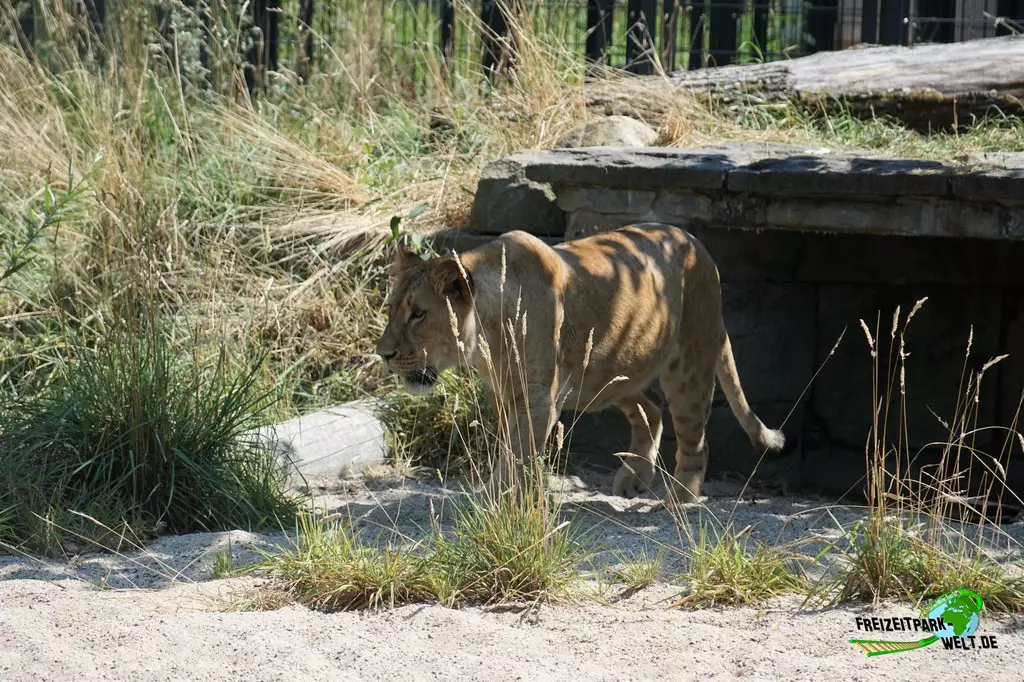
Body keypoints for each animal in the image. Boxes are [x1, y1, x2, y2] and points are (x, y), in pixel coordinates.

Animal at [375, 222, 788, 503]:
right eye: (392, 309)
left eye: (418, 314)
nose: (384, 354)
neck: (487, 337)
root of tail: (698, 245)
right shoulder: (503, 394)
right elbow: (509, 448)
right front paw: (505, 496)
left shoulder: (539, 398)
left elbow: (519, 452)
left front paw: (505, 500)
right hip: (610, 371)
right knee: (651, 409)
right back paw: (635, 477)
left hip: (688, 363)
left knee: (693, 438)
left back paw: (679, 499)